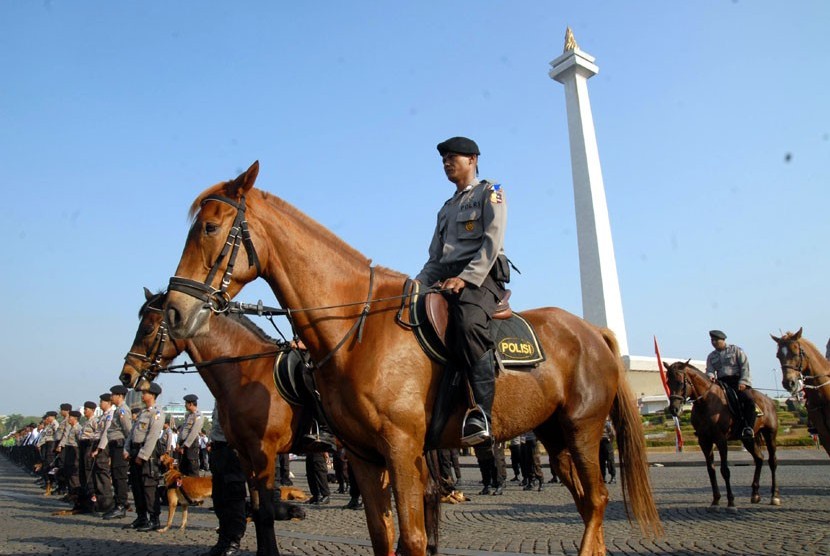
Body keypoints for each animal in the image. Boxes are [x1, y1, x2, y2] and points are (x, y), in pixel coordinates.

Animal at [118, 288, 308, 552]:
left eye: (147, 328)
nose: (126, 375)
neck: (249, 370)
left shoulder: (264, 454)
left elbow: (266, 510)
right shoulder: (245, 454)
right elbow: (257, 508)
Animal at [164, 162, 664, 556]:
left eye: (209, 228)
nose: (174, 311)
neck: (355, 327)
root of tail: (591, 330)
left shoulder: (402, 450)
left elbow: (414, 539)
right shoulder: (363, 455)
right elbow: (382, 537)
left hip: (583, 430)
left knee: (596, 500)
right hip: (553, 435)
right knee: (585, 501)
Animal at [664, 358, 780, 510]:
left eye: (679, 382)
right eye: (667, 382)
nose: (674, 409)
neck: (706, 403)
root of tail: (768, 400)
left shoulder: (721, 439)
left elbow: (725, 470)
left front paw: (731, 501)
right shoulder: (704, 441)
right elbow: (711, 469)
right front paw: (716, 500)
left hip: (770, 434)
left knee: (772, 461)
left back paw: (774, 496)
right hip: (747, 438)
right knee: (759, 458)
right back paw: (755, 494)